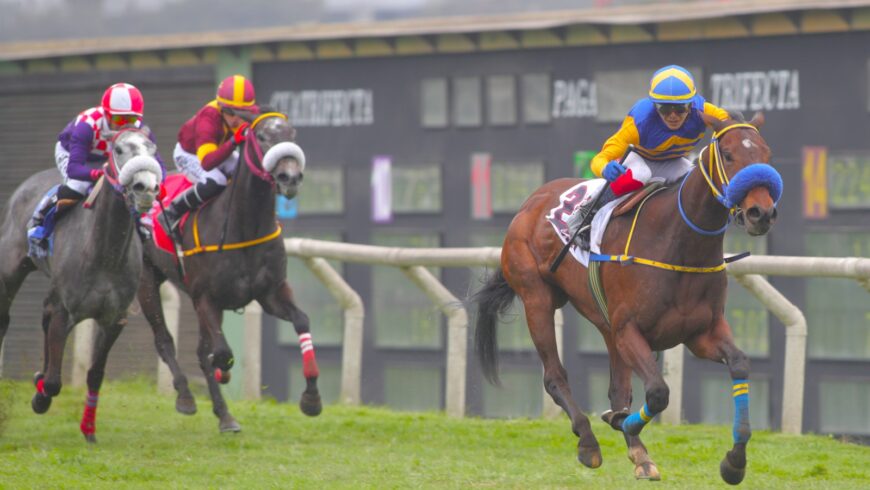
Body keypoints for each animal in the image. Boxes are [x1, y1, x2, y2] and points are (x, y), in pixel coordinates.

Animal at [0, 128, 164, 442]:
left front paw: (88, 429)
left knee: (44, 316)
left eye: (151, 149)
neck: (103, 252)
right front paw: (40, 398)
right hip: (10, 270)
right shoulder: (65, 310)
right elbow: (54, 382)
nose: (146, 188)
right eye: (120, 149)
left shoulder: (113, 319)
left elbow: (95, 375)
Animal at [141, 111, 324, 432]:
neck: (245, 224)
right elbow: (222, 353)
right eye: (261, 136)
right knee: (164, 341)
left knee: (199, 350)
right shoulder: (206, 298)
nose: (290, 177)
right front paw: (222, 371)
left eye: (293, 133)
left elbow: (302, 321)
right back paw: (186, 397)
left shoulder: (271, 293)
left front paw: (311, 398)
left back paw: (225, 415)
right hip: (145, 279)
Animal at [476, 113, 784, 484]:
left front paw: (735, 462)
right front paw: (619, 421)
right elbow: (658, 392)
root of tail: (530, 203)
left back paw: (638, 452)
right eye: (727, 154)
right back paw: (589, 442)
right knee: (554, 376)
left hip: (604, 321)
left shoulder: (701, 332)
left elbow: (739, 363)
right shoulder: (630, 330)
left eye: (766, 154)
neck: (678, 242)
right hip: (538, 298)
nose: (760, 213)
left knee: (618, 387)